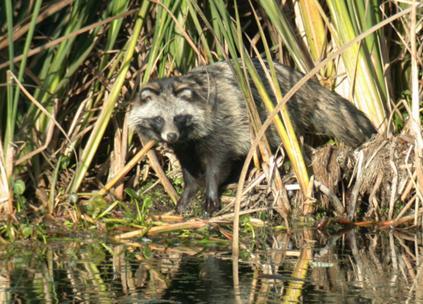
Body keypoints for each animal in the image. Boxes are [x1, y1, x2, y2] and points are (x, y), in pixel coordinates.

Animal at [129, 60, 378, 215]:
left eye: (179, 117)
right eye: (159, 119)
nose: (170, 135)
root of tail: (301, 82)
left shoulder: (223, 124)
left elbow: (218, 163)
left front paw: (211, 191)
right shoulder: (185, 144)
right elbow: (189, 169)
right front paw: (187, 195)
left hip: (277, 114)